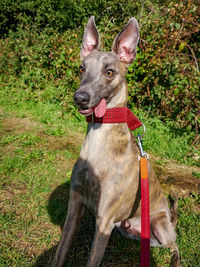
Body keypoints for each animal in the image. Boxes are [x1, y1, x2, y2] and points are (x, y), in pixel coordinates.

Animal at [52, 15, 180, 266]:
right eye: (82, 68)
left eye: (109, 72)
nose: (80, 98)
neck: (99, 140)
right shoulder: (75, 206)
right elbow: (60, 253)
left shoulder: (104, 221)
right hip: (127, 229)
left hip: (160, 226)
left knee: (175, 245)